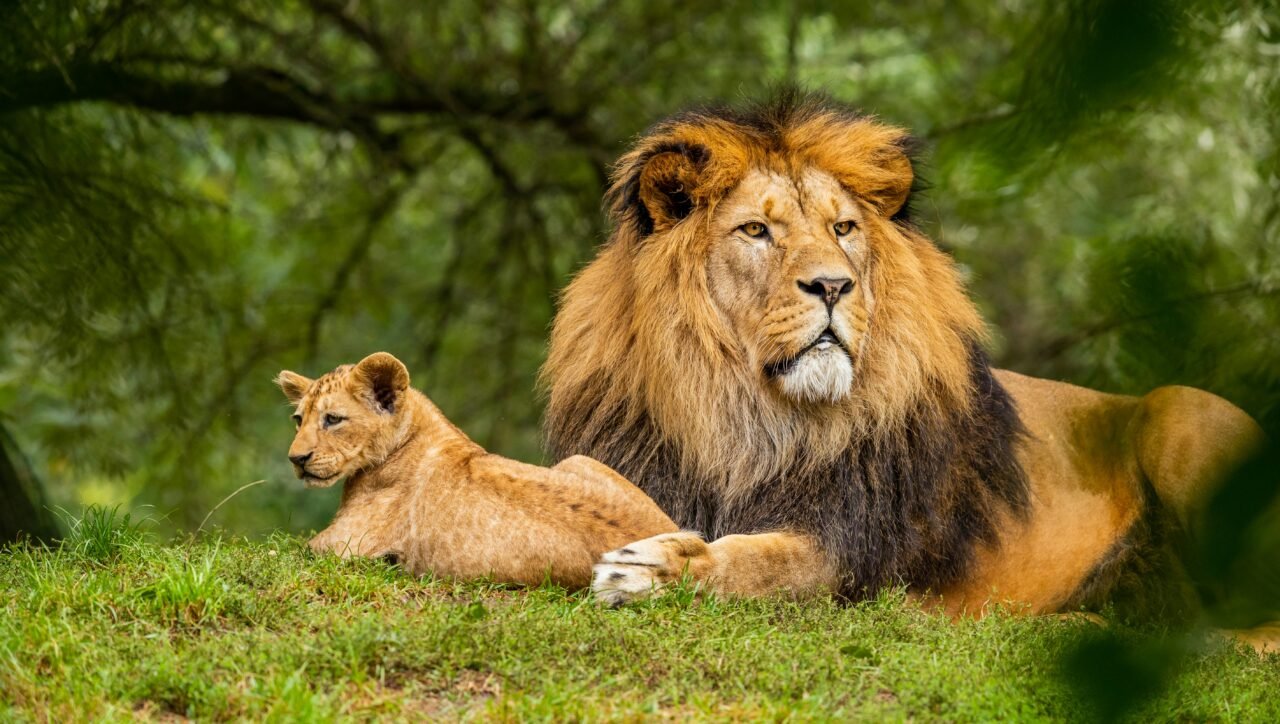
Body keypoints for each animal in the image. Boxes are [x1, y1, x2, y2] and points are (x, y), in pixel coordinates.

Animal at [274, 352, 677, 587]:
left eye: (333, 419)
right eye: (297, 420)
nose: (296, 458)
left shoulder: (343, 545)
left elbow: (287, 550)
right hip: (578, 459)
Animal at [540, 91, 1277, 649]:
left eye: (842, 229)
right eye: (755, 231)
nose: (833, 286)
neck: (744, 414)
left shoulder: (849, 548)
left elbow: (758, 561)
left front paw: (652, 569)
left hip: (1181, 412)